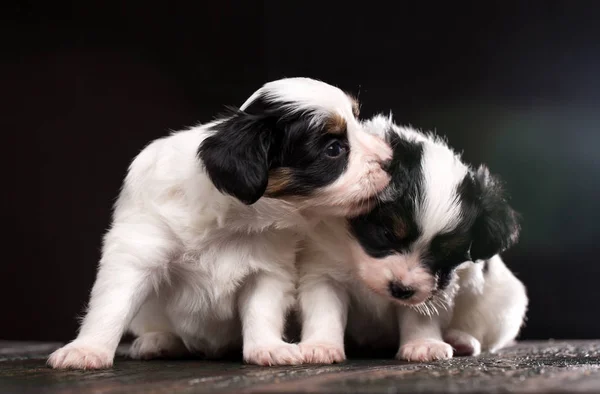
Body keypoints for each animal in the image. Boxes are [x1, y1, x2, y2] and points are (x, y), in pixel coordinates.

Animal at [48, 77, 394, 370]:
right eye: (334, 149)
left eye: (359, 122)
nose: (390, 159)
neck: (233, 217)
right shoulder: (138, 252)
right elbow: (112, 306)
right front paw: (87, 350)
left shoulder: (267, 269)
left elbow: (261, 309)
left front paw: (267, 348)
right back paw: (159, 340)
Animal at [298, 114, 528, 364]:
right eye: (387, 234)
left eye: (446, 254)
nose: (401, 290)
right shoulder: (324, 271)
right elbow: (325, 310)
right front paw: (321, 346)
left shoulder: (431, 287)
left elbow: (418, 313)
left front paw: (424, 344)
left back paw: (461, 340)